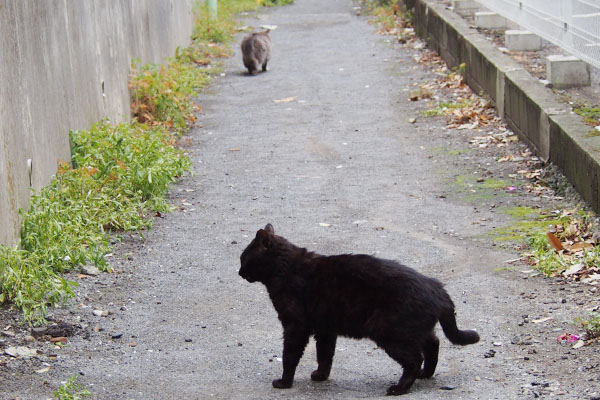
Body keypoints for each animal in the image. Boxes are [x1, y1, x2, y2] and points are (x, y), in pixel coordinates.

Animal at [238, 223, 478, 396]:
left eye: (244, 257)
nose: (239, 272)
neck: (285, 268)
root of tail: (436, 286)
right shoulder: (325, 329)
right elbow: (325, 355)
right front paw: (321, 376)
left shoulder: (295, 326)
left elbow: (290, 355)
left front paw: (284, 382)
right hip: (412, 330)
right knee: (433, 344)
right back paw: (425, 374)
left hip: (386, 330)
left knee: (413, 358)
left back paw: (399, 388)